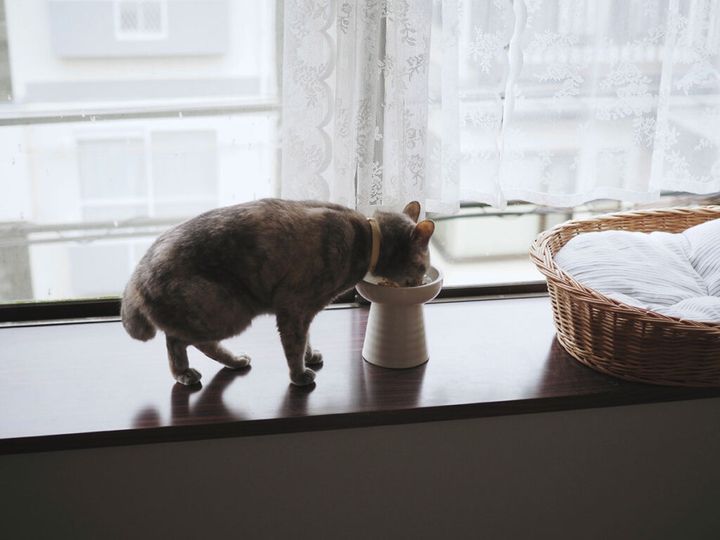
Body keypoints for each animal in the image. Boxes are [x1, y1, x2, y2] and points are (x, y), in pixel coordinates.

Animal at [121, 198, 435, 387]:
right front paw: (299, 375)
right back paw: (188, 372)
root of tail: (135, 277)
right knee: (178, 340)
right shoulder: (293, 308)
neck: (367, 238)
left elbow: (305, 340)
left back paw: (232, 362)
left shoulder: (305, 311)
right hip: (226, 310)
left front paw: (310, 356)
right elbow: (294, 346)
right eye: (422, 266)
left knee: (190, 341)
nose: (421, 281)